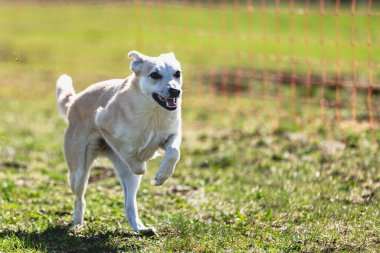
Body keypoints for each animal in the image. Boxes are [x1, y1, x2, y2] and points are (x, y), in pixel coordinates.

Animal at [55, 51, 183, 235]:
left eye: (177, 73)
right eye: (154, 75)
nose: (175, 91)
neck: (152, 112)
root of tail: (74, 101)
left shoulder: (172, 134)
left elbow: (173, 152)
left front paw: (161, 177)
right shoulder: (103, 122)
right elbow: (128, 152)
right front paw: (140, 164)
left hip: (130, 180)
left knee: (129, 205)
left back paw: (141, 228)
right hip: (79, 172)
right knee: (79, 199)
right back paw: (77, 223)